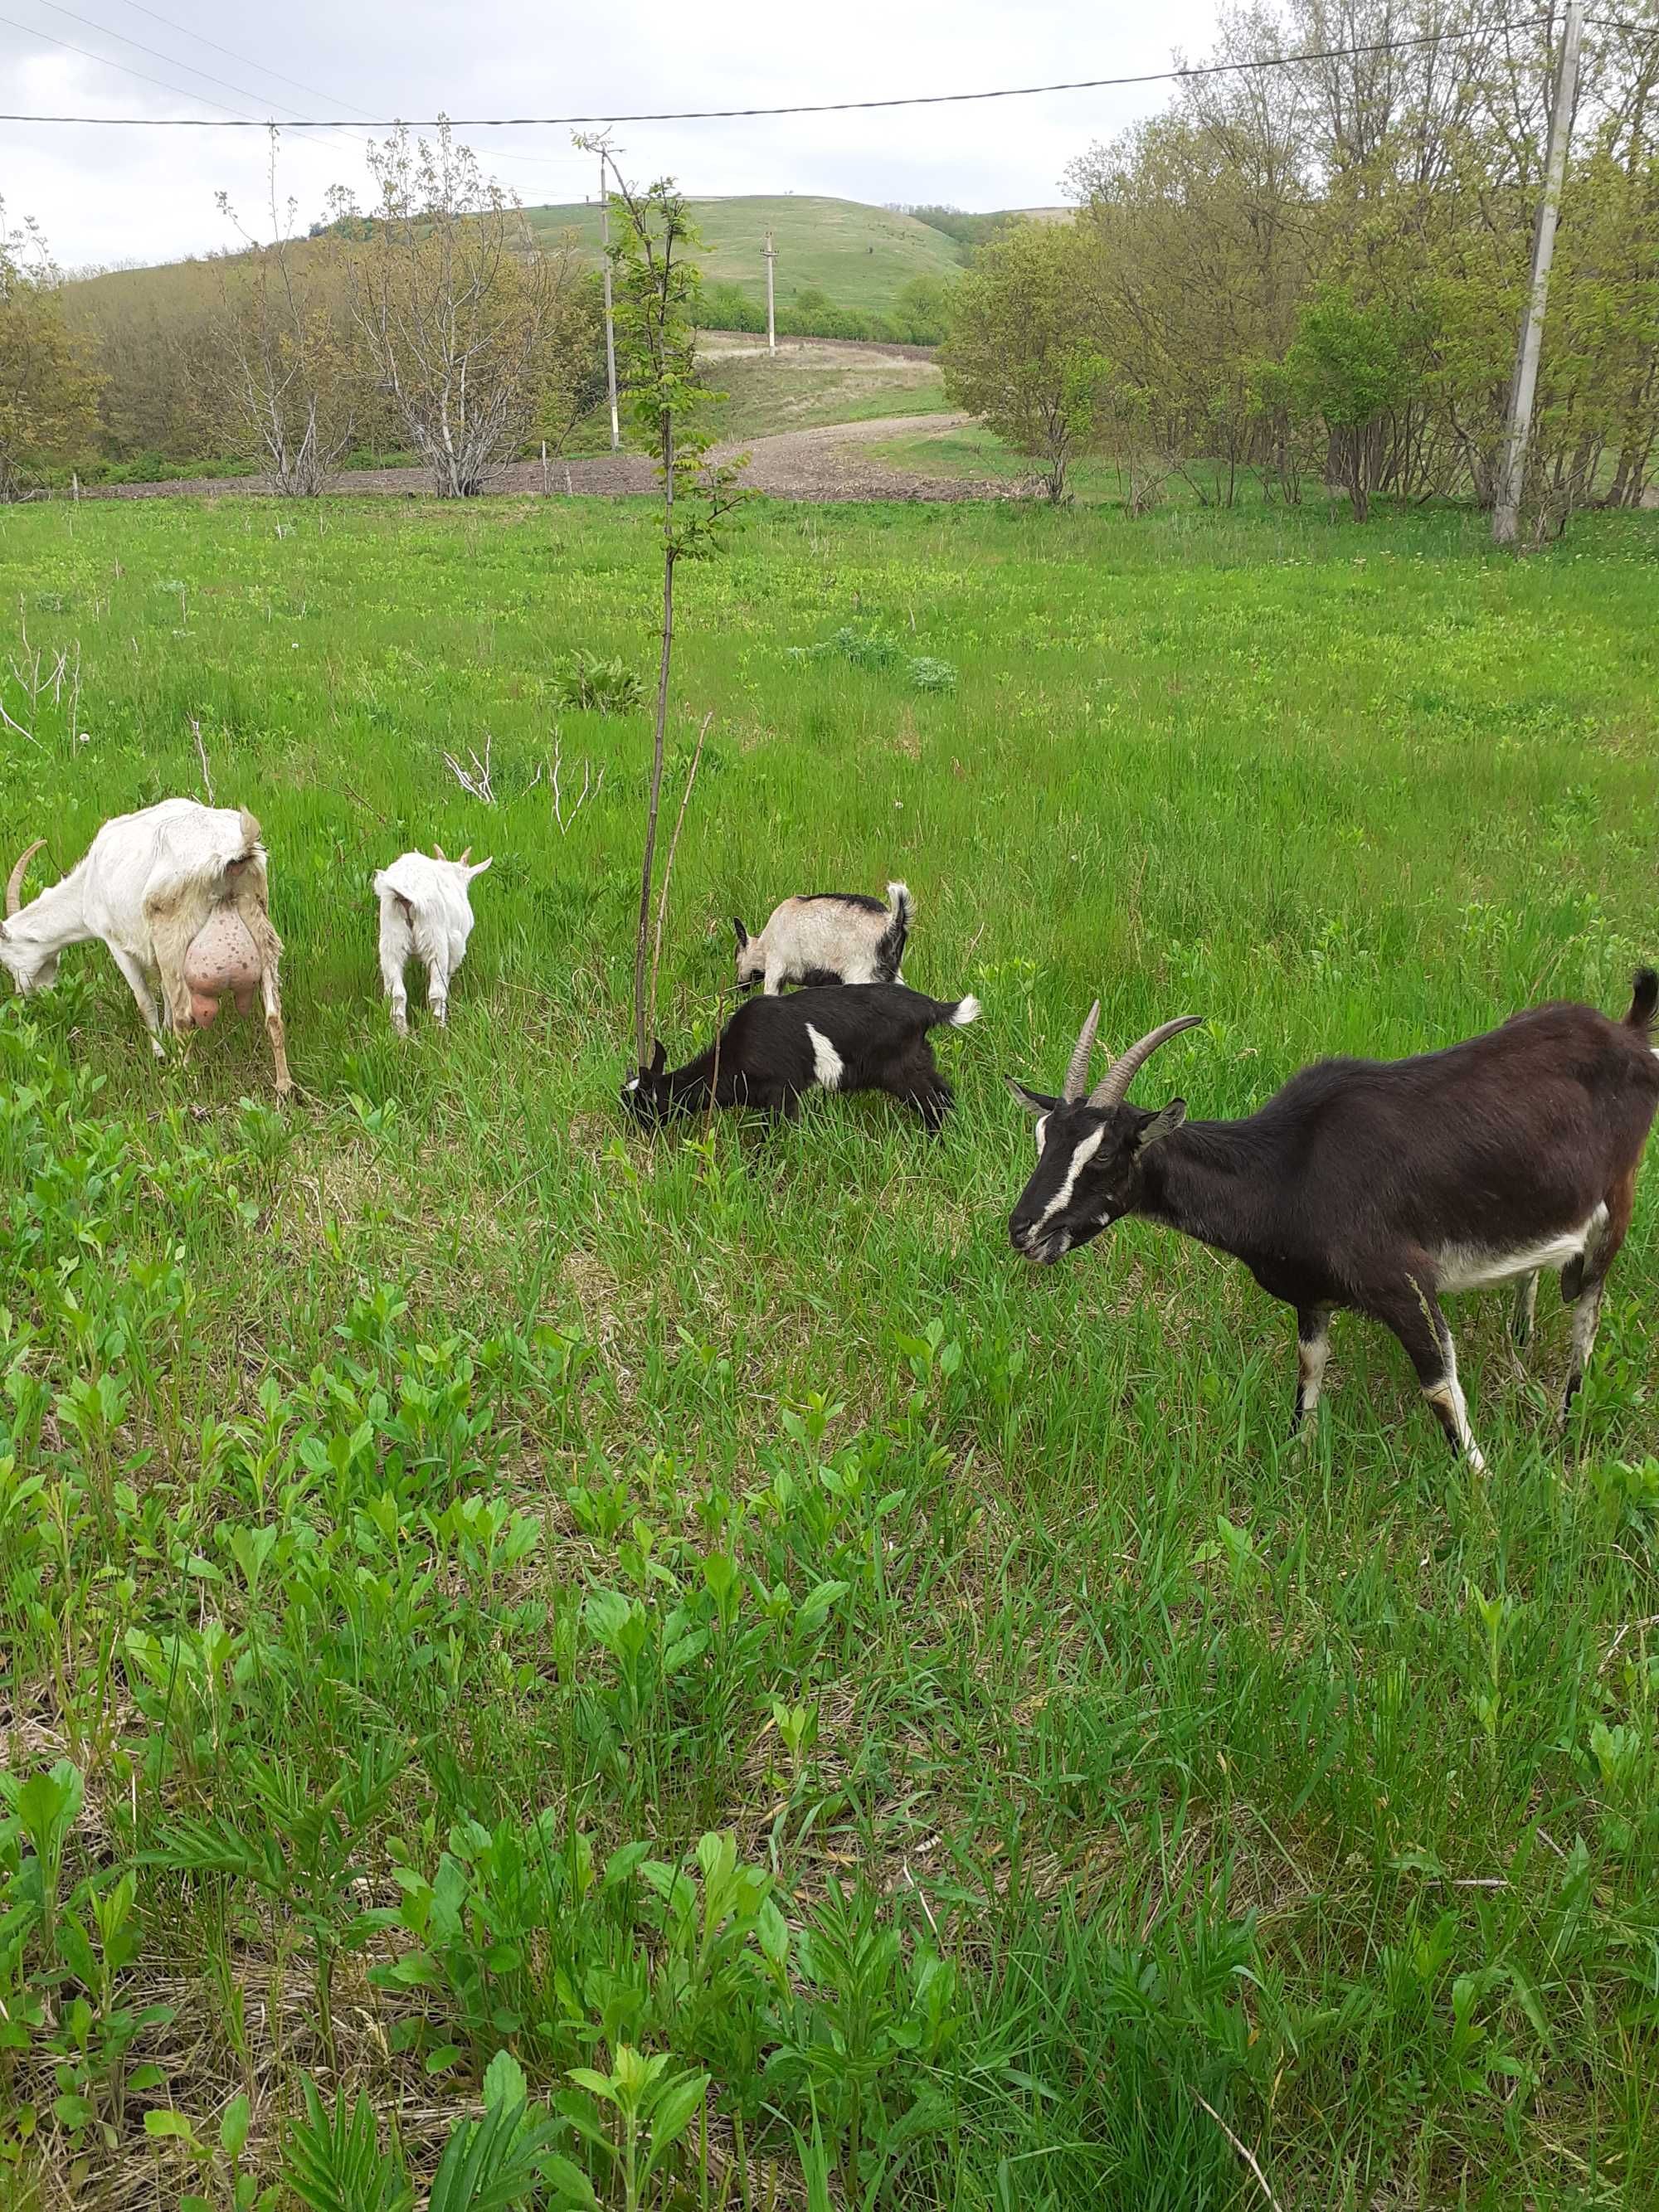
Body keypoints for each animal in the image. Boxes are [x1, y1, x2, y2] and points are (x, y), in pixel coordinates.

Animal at [1, 805, 294, 1096]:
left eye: (7, 960)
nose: (22, 996)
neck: (85, 888)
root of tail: (234, 850)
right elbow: (163, 993)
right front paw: (163, 1036)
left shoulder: (116, 941)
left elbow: (145, 1000)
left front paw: (158, 1051)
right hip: (258, 918)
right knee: (273, 1013)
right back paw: (283, 1085)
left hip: (172, 934)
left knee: (185, 1016)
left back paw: (180, 1075)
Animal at [378, 844, 498, 1035]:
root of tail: (407, 891)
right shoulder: (455, 948)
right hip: (434, 940)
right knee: (436, 992)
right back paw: (439, 1031)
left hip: (391, 941)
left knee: (396, 994)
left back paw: (402, 1035)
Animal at [628, 986, 982, 1132]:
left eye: (638, 1106)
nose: (638, 1133)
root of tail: (930, 1008)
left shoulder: (782, 1094)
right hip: (920, 1060)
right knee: (945, 1095)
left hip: (901, 1070)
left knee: (934, 1104)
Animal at [1009, 973, 1659, 1468]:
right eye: (1042, 1136)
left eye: (1105, 1156)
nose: (1023, 1231)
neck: (1287, 1166)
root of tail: (1627, 1034)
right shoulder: (1311, 1296)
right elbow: (1310, 1367)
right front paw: (1299, 1457)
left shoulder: (1405, 1284)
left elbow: (1441, 1389)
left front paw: (1482, 1495)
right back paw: (1521, 1337)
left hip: (1618, 1199)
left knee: (1588, 1309)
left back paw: (1566, 1421)